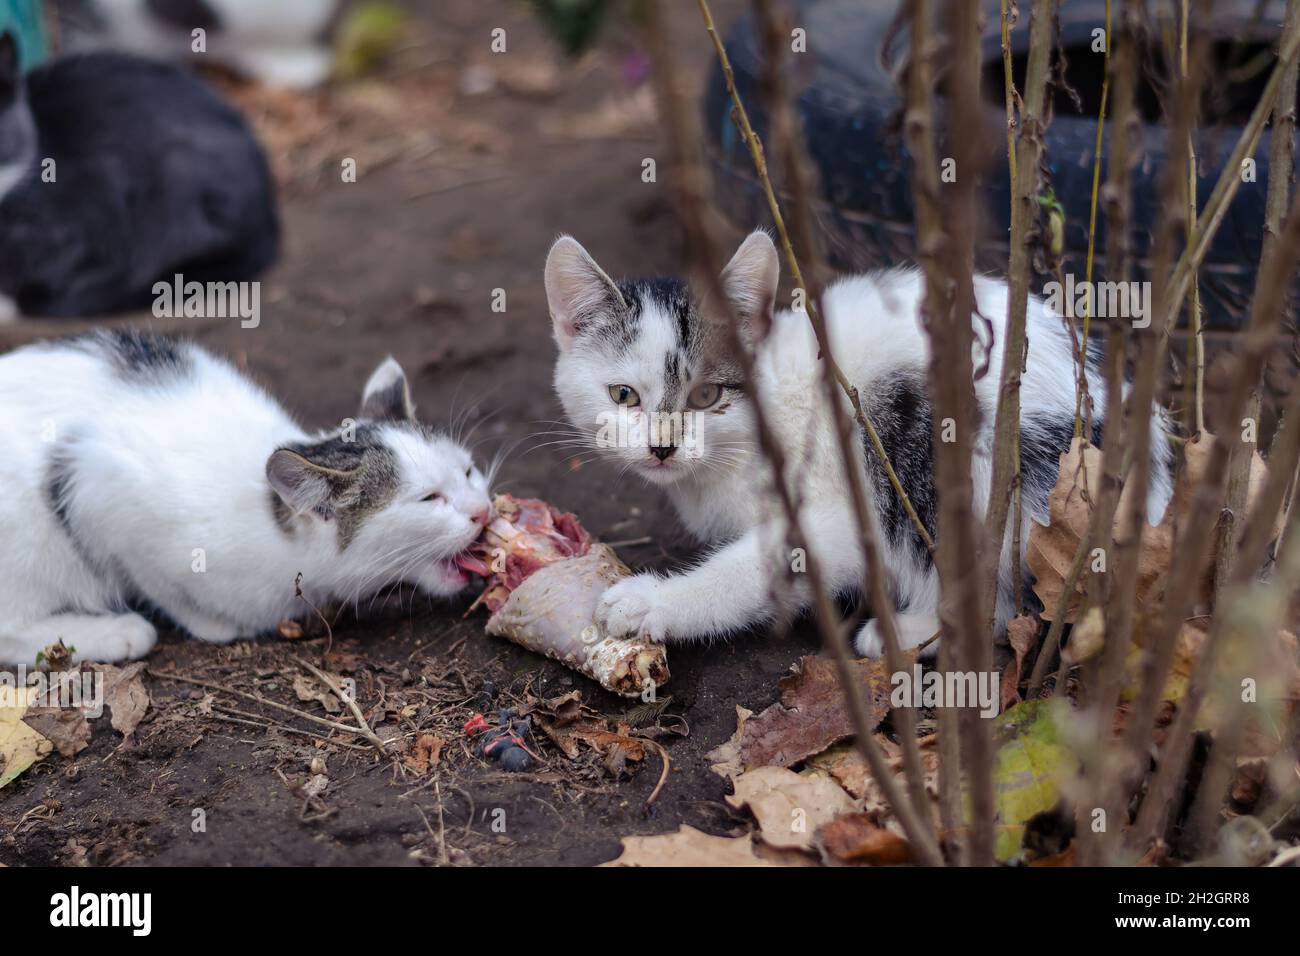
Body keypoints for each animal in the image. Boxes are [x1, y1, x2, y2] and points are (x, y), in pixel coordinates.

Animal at [0, 332, 491, 671]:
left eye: (468, 471)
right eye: (429, 498)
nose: (483, 511)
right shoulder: (102, 489)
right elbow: (161, 585)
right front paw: (212, 624)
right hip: (30, 537)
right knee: (11, 630)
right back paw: (117, 632)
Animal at [543, 230, 1175, 658]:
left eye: (706, 395)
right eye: (623, 395)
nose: (663, 449)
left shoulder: (838, 513)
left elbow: (754, 567)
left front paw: (654, 602)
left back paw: (912, 630)